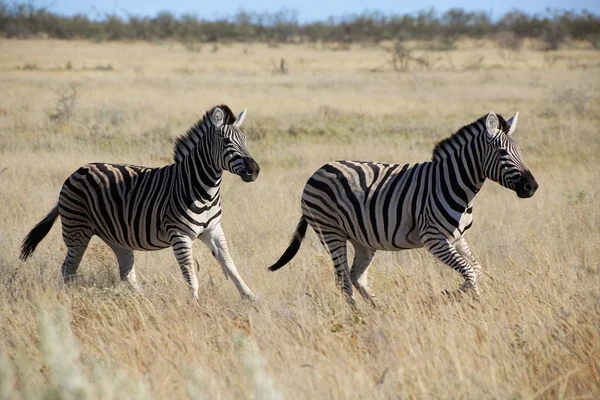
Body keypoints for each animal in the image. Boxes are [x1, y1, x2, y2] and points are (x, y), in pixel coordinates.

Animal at [20, 104, 260, 300]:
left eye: (246, 140)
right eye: (226, 141)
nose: (254, 170)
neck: (203, 189)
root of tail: (77, 171)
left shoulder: (213, 230)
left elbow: (230, 265)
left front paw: (251, 299)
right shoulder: (179, 235)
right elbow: (191, 277)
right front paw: (196, 307)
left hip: (115, 236)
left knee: (126, 273)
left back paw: (143, 301)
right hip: (77, 231)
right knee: (68, 269)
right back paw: (71, 298)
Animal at [270, 111, 536, 304]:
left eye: (520, 150)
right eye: (502, 152)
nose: (532, 186)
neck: (454, 183)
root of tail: (318, 170)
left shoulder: (459, 237)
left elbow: (475, 269)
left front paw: (455, 293)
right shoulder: (434, 239)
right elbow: (469, 271)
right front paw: (477, 302)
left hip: (361, 239)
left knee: (357, 277)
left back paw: (378, 311)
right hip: (330, 231)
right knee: (343, 281)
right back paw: (357, 317)